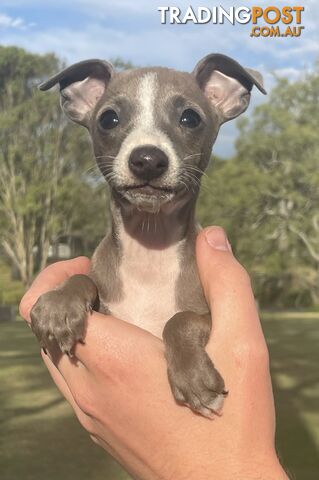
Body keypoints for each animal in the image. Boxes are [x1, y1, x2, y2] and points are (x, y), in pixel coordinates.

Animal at [31, 53, 266, 416]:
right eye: (109, 119)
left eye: (190, 118)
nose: (147, 159)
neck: (150, 247)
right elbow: (83, 278)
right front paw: (59, 304)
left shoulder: (209, 316)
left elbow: (179, 319)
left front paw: (194, 376)